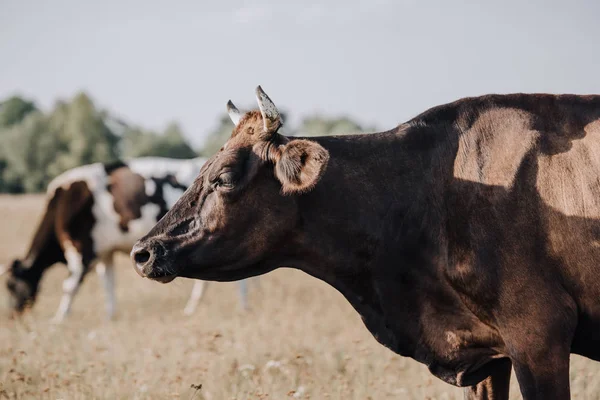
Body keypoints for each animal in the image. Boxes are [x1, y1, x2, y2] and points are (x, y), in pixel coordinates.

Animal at [1, 158, 250, 324]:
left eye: (11, 286)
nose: (12, 315)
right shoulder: (105, 252)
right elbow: (108, 283)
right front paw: (110, 315)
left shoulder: (82, 250)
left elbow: (69, 286)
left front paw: (59, 318)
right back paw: (192, 308)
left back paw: (242, 305)